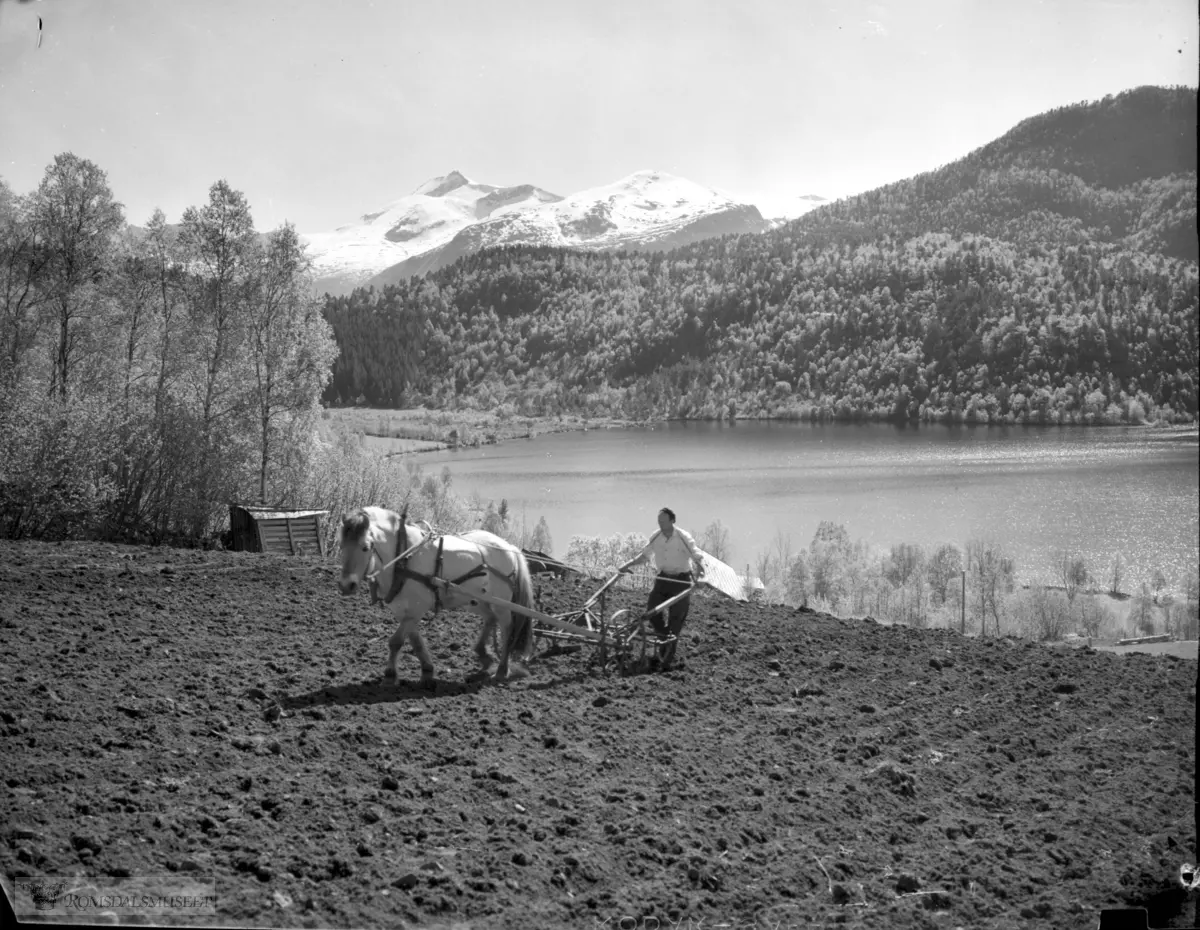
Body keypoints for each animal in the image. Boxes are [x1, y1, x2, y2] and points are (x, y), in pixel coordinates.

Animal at [333, 506, 530, 686]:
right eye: (341, 545)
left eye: (365, 547)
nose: (346, 585)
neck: (404, 556)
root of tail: (508, 547)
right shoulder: (403, 610)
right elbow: (415, 642)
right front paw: (427, 670)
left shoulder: (417, 608)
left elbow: (396, 641)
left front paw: (390, 676)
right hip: (476, 601)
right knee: (490, 618)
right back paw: (484, 656)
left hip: (501, 603)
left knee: (507, 628)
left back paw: (502, 670)